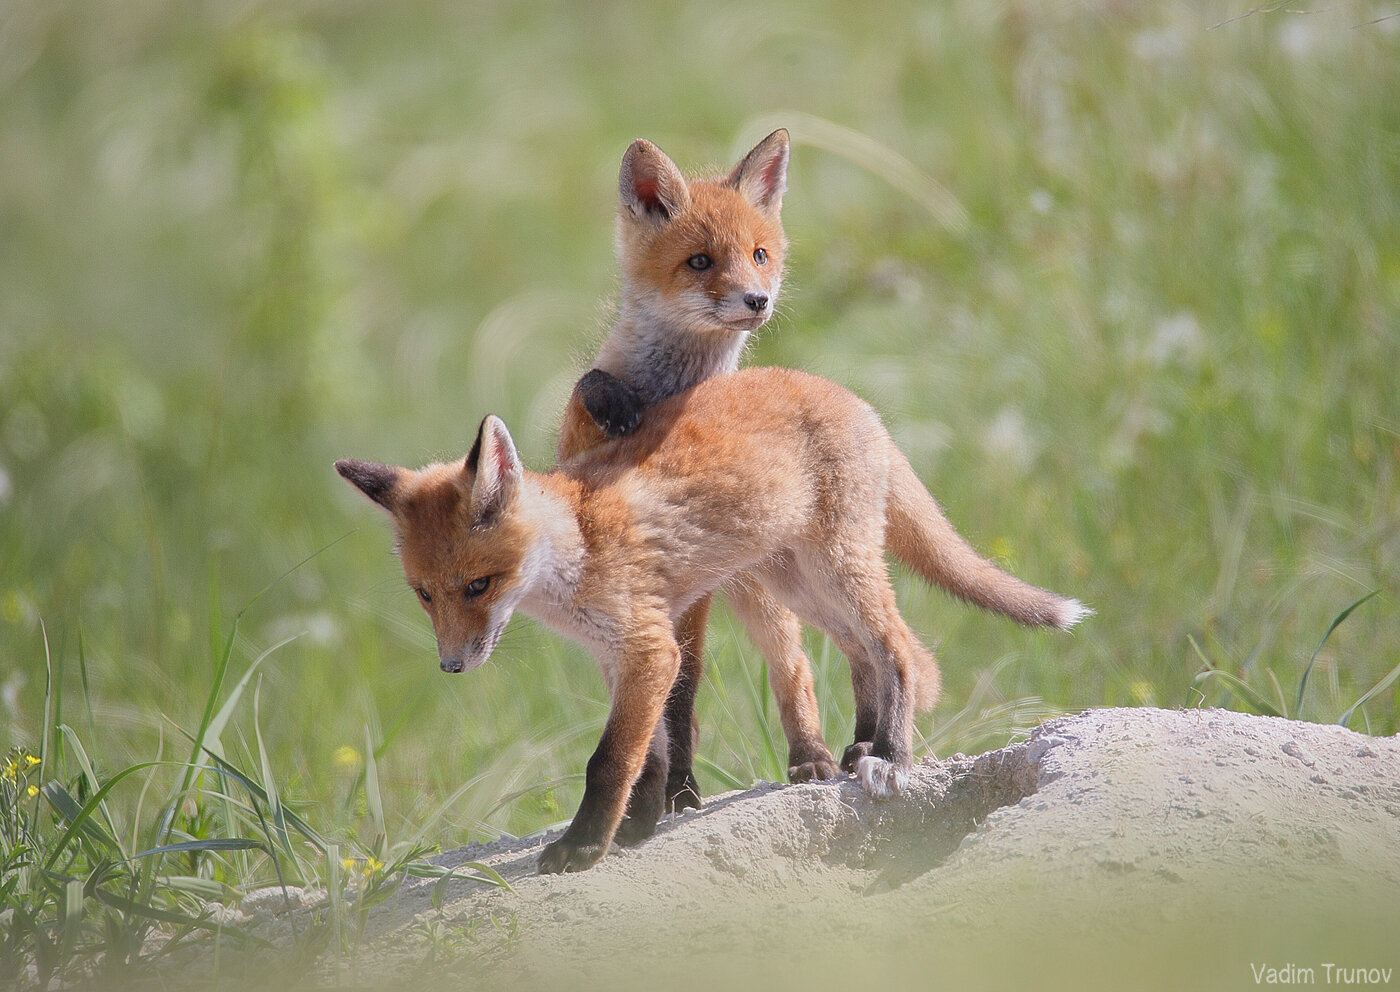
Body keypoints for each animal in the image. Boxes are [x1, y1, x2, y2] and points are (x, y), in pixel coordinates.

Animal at [337, 367, 1089, 873]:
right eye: (423, 595)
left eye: (477, 585)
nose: (451, 665)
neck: (577, 545)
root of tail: (846, 394)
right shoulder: (625, 656)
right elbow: (652, 752)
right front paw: (639, 826)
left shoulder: (649, 648)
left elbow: (610, 761)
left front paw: (584, 845)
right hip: (797, 581)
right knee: (863, 653)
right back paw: (859, 745)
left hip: (834, 567)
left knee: (901, 648)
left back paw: (891, 755)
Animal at [557, 130, 1085, 809]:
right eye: (700, 262)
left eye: (759, 255)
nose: (758, 300)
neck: (668, 395)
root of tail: (861, 407)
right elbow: (588, 382)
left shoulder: (689, 595)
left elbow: (683, 690)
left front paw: (677, 792)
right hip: (793, 580)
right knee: (854, 652)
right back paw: (855, 745)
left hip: (807, 575)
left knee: (840, 658)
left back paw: (859, 755)